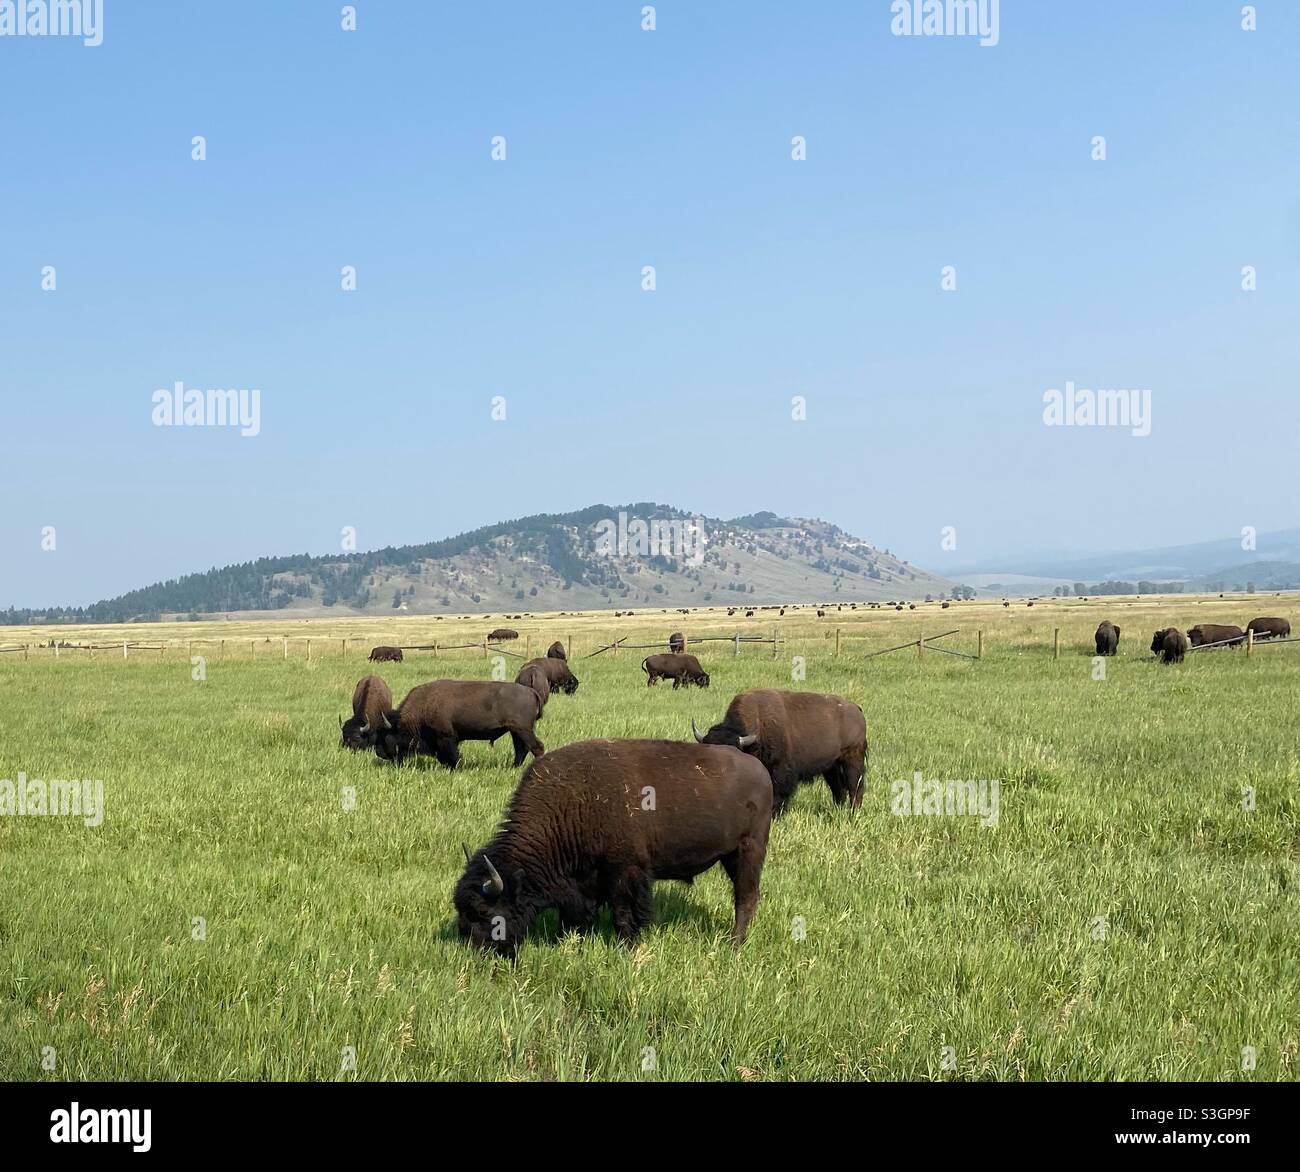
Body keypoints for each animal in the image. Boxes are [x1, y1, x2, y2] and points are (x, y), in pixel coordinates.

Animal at [373, 680, 544, 768]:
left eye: (386, 735)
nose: (379, 753)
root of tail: (531, 691)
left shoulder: (446, 737)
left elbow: (452, 755)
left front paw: (455, 767)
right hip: (515, 731)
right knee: (521, 750)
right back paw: (513, 767)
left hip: (522, 730)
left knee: (536, 747)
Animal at [454, 739, 772, 956]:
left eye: (483, 910)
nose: (474, 949)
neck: (570, 806)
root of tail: (759, 769)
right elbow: (574, 915)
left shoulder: (624, 872)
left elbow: (623, 914)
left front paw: (626, 948)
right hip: (730, 855)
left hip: (749, 850)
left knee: (746, 897)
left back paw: (735, 943)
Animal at [694, 689, 867, 814]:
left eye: (732, 756)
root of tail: (856, 709)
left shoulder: (780, 771)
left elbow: (779, 794)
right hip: (831, 767)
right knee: (838, 789)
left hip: (853, 760)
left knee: (855, 787)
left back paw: (853, 813)